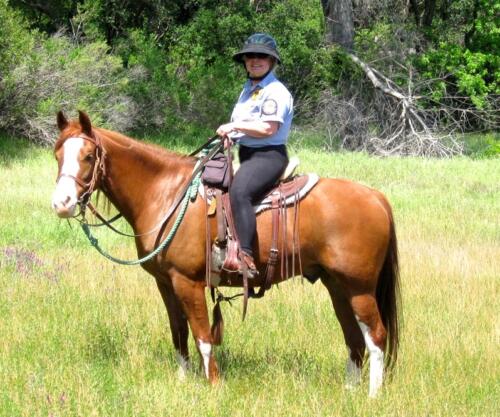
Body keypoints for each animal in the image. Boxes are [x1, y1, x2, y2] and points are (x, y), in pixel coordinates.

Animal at [52, 110, 400, 396]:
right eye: (57, 154)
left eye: (88, 155)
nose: (61, 203)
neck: (167, 193)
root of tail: (377, 197)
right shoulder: (166, 283)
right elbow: (179, 332)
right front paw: (183, 380)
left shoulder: (188, 282)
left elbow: (203, 335)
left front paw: (214, 385)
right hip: (337, 287)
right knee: (354, 337)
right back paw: (350, 390)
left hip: (359, 288)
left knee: (376, 336)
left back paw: (372, 396)